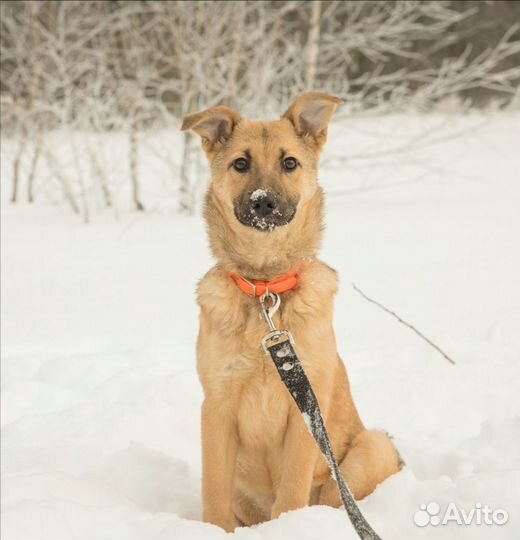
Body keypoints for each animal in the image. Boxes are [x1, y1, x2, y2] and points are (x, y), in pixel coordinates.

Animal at [181, 93, 400, 532]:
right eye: (241, 164)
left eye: (290, 163)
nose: (263, 202)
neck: (265, 289)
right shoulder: (216, 406)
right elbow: (213, 491)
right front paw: (214, 530)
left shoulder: (307, 412)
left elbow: (292, 489)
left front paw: (291, 525)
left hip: (373, 447)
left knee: (334, 497)